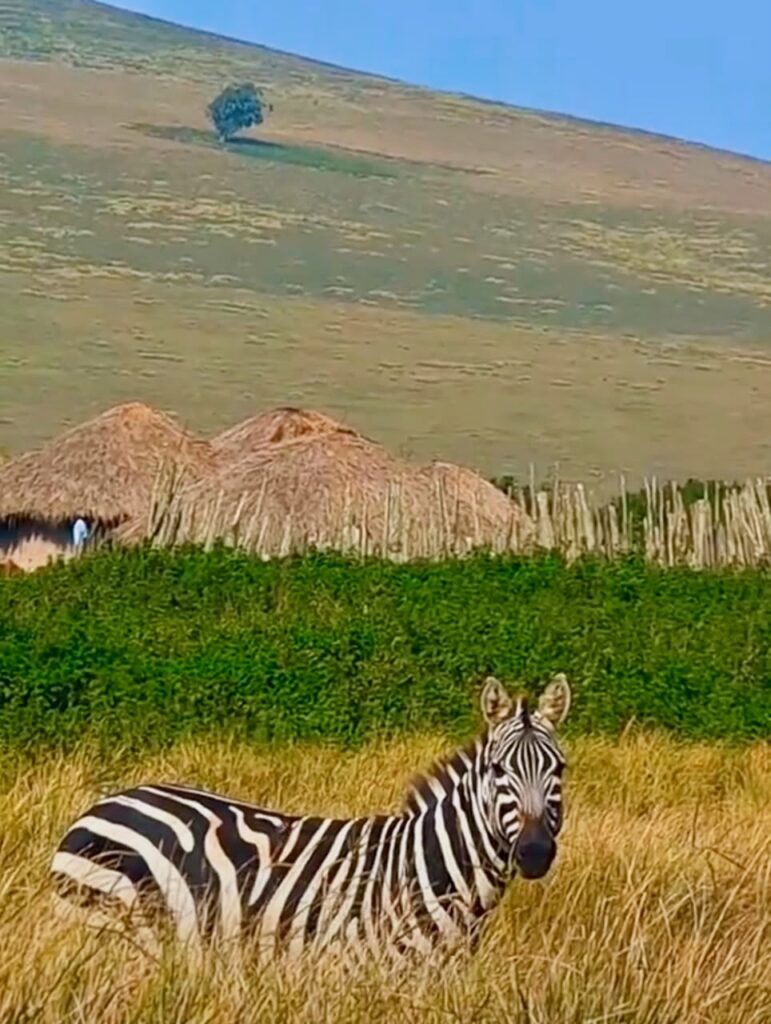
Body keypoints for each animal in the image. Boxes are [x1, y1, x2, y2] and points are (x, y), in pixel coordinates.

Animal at [50, 673, 571, 963]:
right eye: (498, 769)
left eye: (559, 769)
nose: (534, 853)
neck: (430, 870)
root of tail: (101, 805)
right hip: (107, 932)